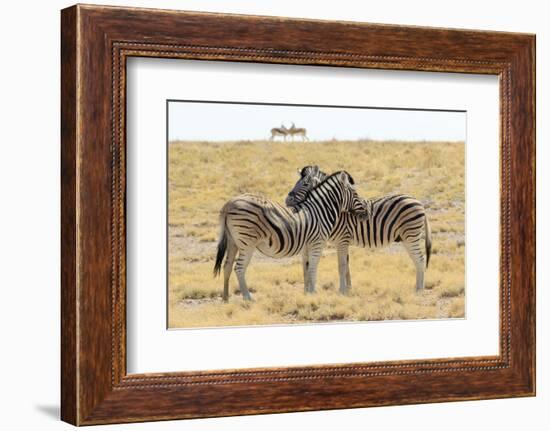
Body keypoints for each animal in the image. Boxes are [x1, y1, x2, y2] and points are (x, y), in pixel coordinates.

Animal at [213, 170, 368, 302]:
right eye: (355, 194)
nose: (366, 213)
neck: (320, 211)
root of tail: (229, 203)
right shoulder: (317, 243)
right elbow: (313, 267)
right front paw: (314, 293)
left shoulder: (307, 244)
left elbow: (307, 267)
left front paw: (308, 292)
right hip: (247, 242)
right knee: (239, 268)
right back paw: (248, 297)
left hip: (233, 241)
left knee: (227, 266)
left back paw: (225, 298)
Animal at [286, 167, 434, 296]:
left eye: (305, 184)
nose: (287, 201)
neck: (334, 209)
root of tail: (419, 202)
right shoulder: (342, 242)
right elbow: (346, 266)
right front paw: (348, 289)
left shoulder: (342, 239)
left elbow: (342, 266)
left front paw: (342, 291)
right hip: (407, 238)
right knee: (417, 260)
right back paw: (417, 288)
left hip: (411, 235)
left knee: (420, 260)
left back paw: (419, 290)